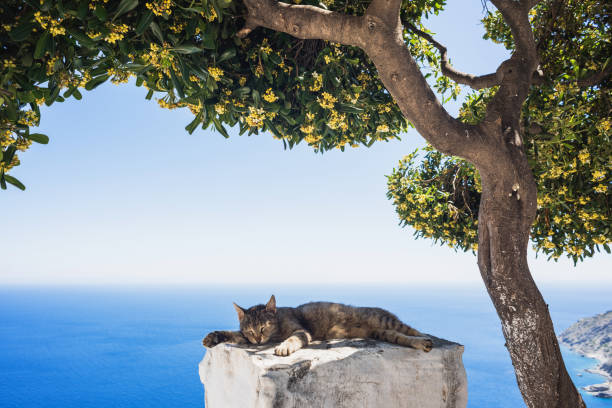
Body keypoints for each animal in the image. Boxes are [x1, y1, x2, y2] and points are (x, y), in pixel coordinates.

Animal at [203, 294, 432, 356]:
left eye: (263, 327)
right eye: (250, 330)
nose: (258, 339)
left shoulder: (301, 331)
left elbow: (293, 338)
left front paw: (284, 347)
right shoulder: (244, 338)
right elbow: (231, 333)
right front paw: (212, 337)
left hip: (385, 321)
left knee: (411, 329)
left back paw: (426, 339)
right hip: (383, 332)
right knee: (402, 337)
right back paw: (421, 343)